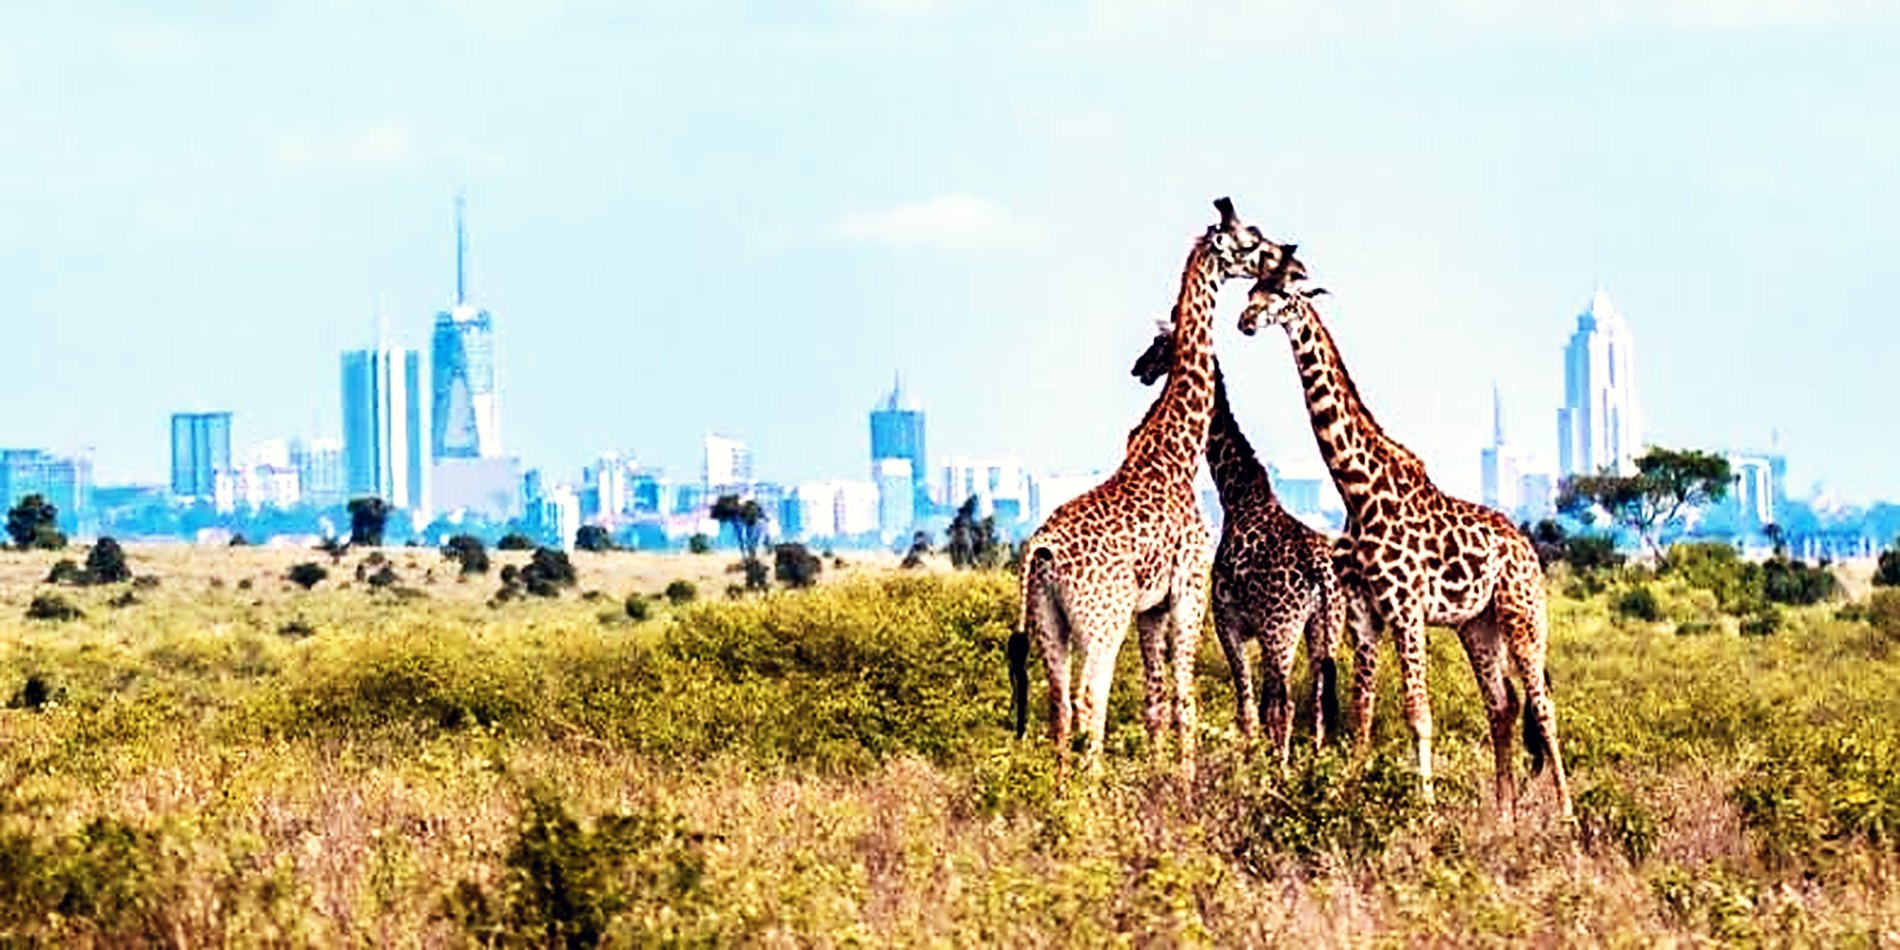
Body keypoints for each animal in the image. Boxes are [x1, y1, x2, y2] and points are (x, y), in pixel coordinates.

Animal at [1007, 198, 1296, 777]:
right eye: (1252, 242)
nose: (1286, 258)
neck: (1176, 452)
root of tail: (1041, 551)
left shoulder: (1150, 607)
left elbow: (1154, 699)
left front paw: (1160, 776)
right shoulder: (1187, 591)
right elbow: (1185, 699)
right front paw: (1183, 784)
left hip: (1050, 620)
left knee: (1058, 704)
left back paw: (1061, 792)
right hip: (1101, 618)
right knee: (1089, 698)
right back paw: (1092, 791)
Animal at [1126, 323, 1344, 764]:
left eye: (1159, 344)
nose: (1138, 369)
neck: (1237, 496)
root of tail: (1321, 570)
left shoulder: (1229, 622)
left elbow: (1248, 707)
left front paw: (1250, 766)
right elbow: (1257, 707)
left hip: (1282, 629)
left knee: (1287, 704)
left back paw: (1283, 769)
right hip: (1325, 627)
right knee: (1317, 700)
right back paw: (1314, 763)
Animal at [1237, 285, 1575, 821]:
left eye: (1282, 295)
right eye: (1252, 290)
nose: (1246, 320)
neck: (1358, 490)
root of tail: (1527, 547)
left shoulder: (1406, 609)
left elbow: (1418, 712)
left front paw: (1426, 808)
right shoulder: (1364, 615)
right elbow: (1362, 710)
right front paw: (1350, 797)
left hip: (1522, 615)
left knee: (1542, 706)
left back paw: (1565, 813)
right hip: (1476, 624)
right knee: (1502, 705)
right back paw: (1503, 814)